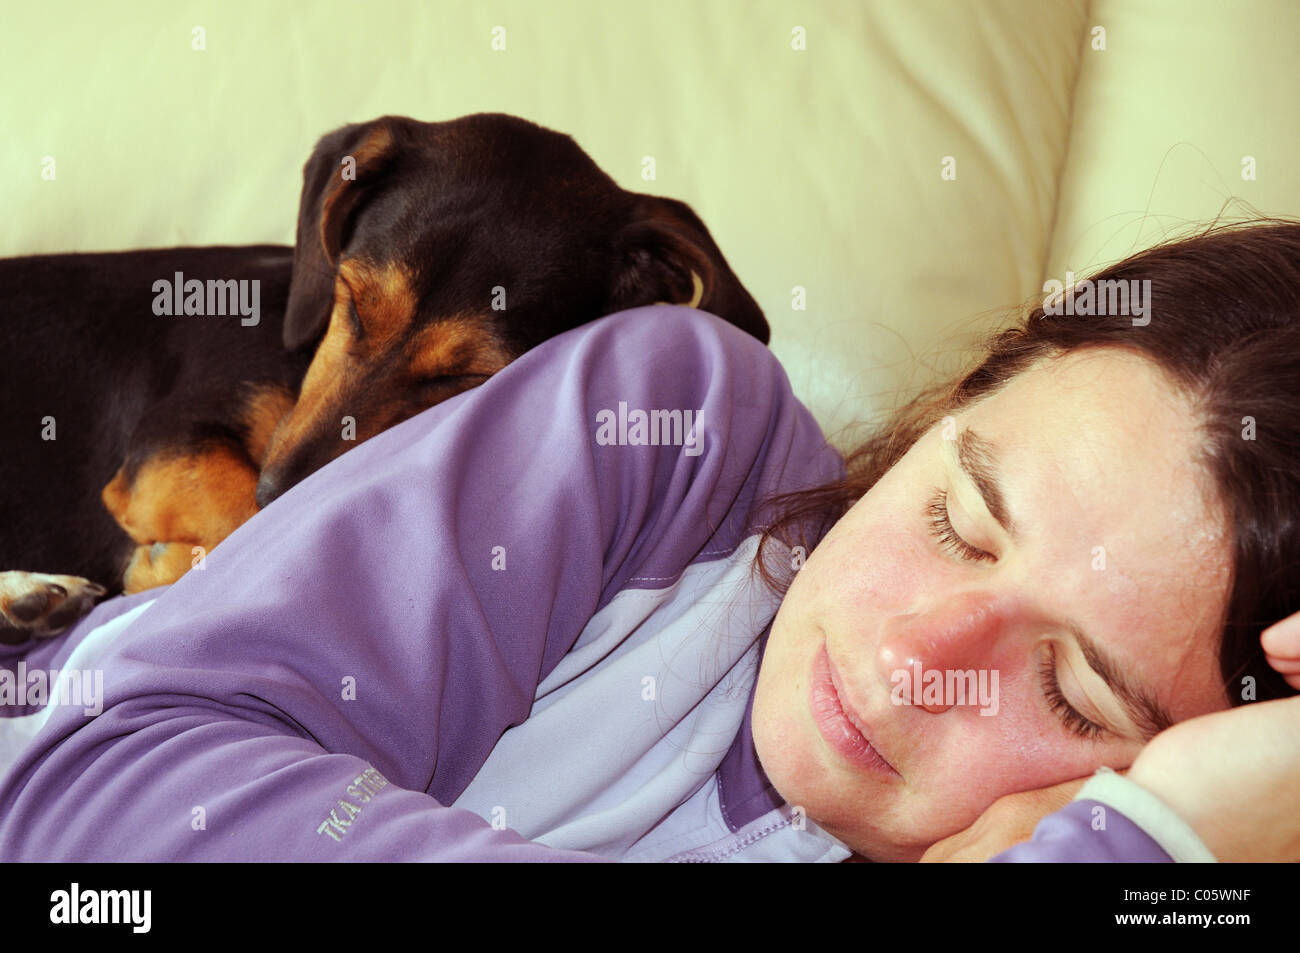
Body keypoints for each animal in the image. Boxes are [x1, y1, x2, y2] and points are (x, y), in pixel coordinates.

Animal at [0, 111, 764, 639]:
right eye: (355, 302)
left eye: (465, 378)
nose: (282, 490)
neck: (299, 361)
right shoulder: (166, 446)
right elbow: (241, 514)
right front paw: (161, 567)